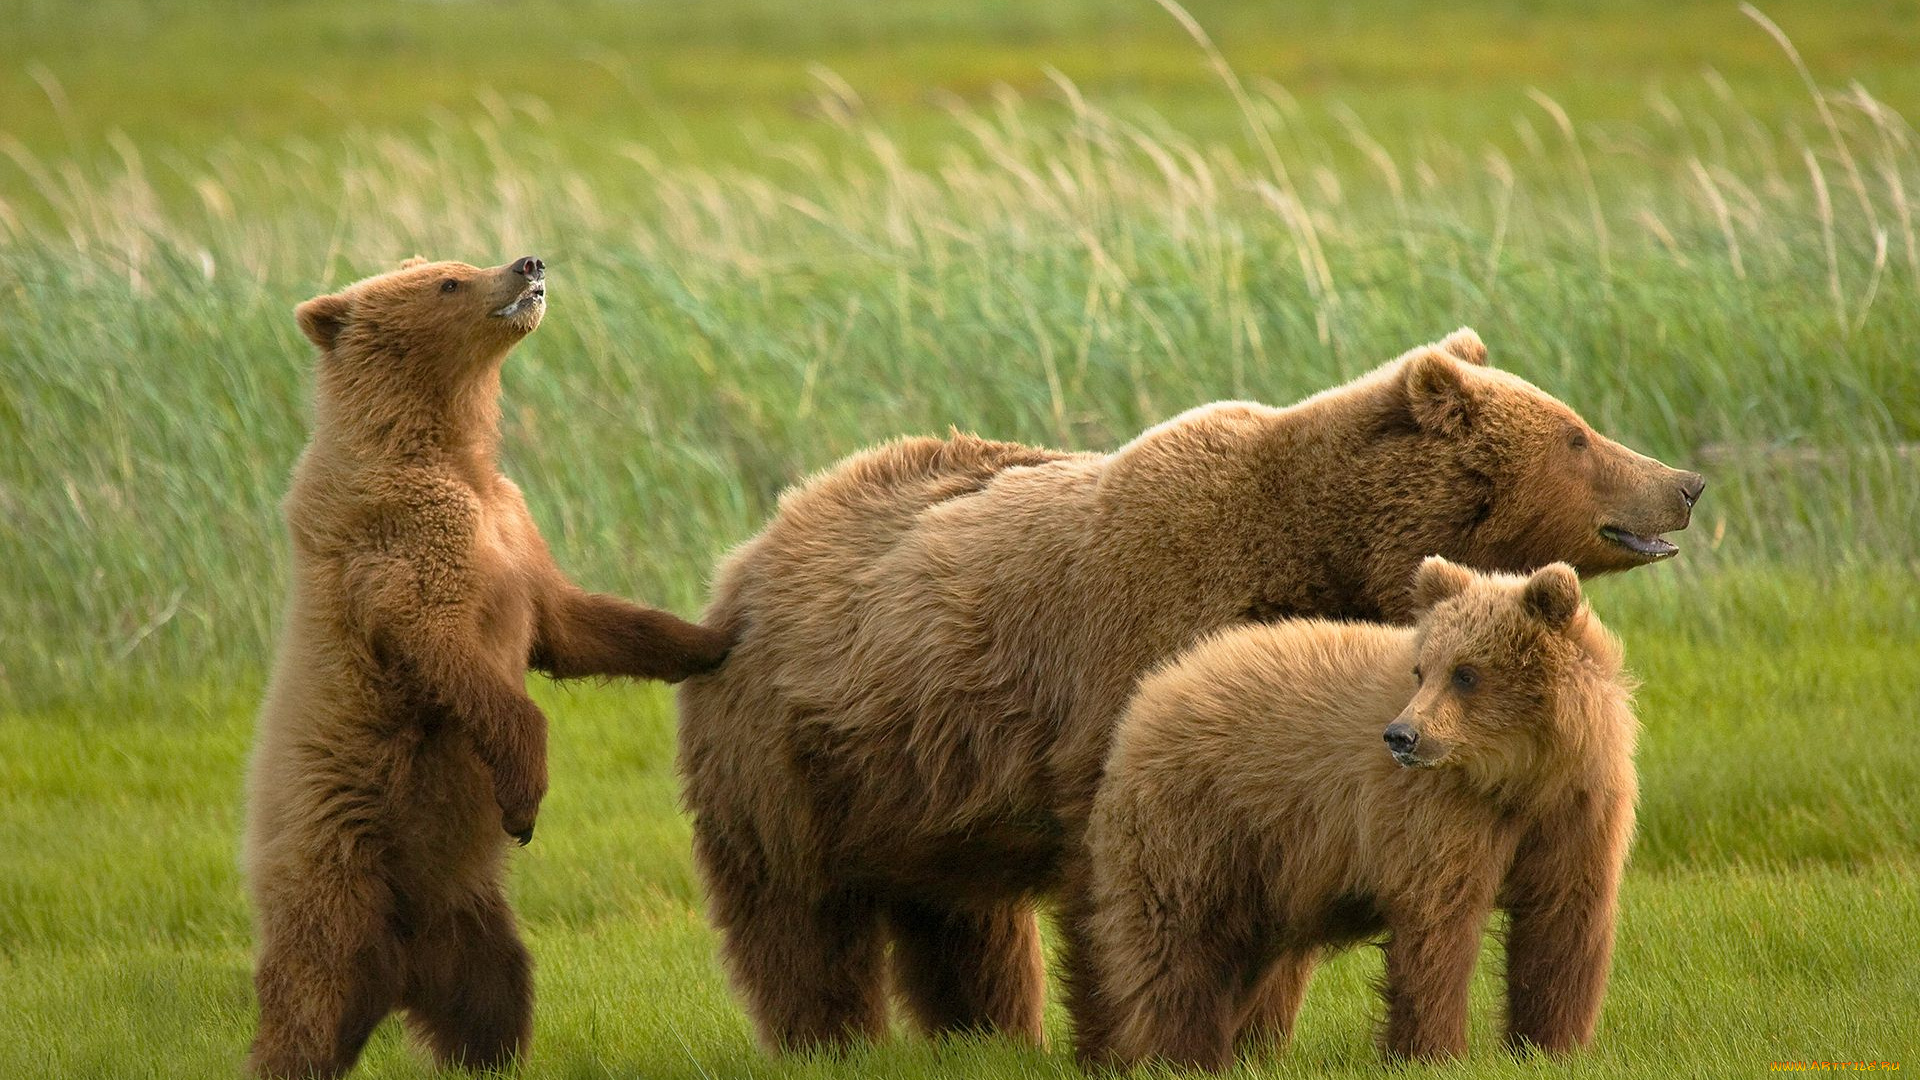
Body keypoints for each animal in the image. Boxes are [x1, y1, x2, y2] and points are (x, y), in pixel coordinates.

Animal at [675, 330, 1697, 1053]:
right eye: (1576, 435)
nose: (1684, 482)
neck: (1319, 553)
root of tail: (749, 554)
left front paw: (1255, 1030)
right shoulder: (1135, 661)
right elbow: (1122, 880)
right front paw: (1128, 1040)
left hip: (926, 787)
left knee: (960, 914)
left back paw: (986, 1032)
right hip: (790, 758)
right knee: (797, 912)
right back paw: (825, 1038)